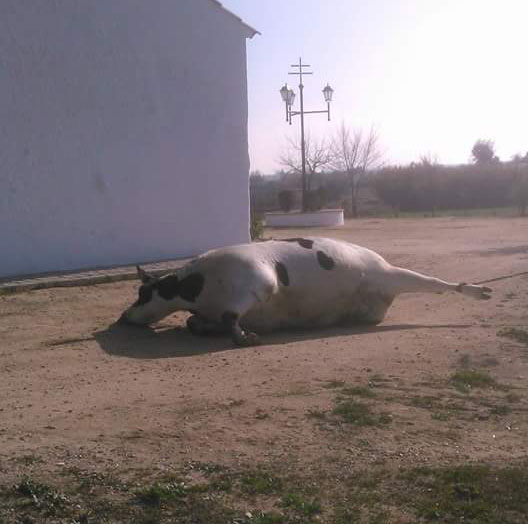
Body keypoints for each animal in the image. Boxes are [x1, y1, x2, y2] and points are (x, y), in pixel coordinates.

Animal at [118, 236, 490, 344]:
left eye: (141, 293)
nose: (121, 317)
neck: (197, 285)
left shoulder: (260, 279)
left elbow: (231, 318)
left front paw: (242, 336)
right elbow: (195, 322)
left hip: (397, 273)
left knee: (440, 284)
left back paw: (477, 290)